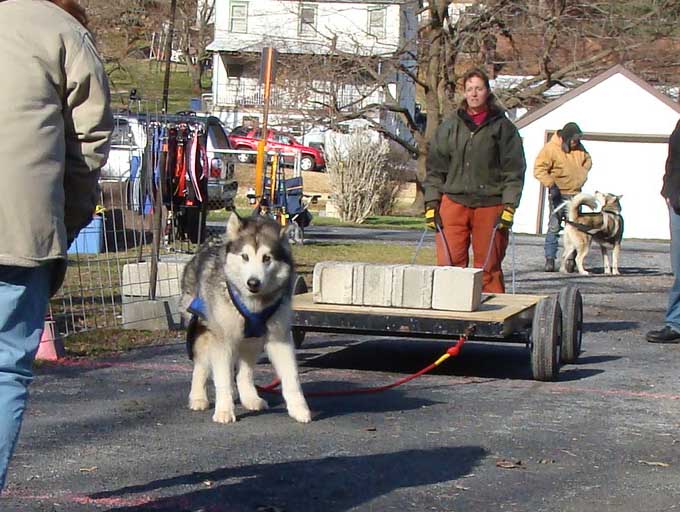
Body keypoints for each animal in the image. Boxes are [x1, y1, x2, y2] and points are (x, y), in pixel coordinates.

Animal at [178, 212, 310, 424]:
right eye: (245, 256)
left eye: (266, 258)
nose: (253, 282)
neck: (253, 304)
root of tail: (203, 247)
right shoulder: (223, 339)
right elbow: (222, 378)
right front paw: (224, 410)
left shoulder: (280, 338)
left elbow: (292, 376)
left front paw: (299, 408)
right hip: (205, 329)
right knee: (201, 366)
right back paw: (198, 397)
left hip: (252, 340)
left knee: (244, 372)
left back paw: (250, 398)